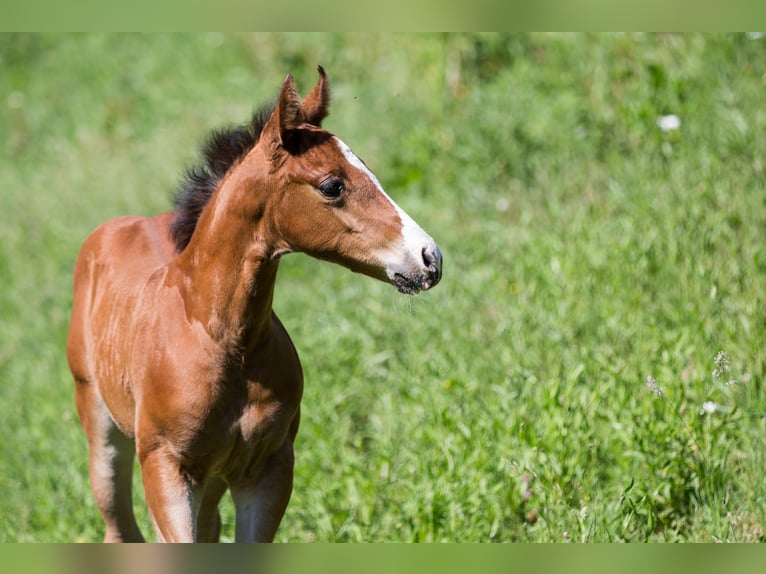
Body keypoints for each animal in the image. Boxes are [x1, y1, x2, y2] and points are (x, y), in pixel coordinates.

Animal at [66, 67, 443, 543]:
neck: (224, 340)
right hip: (102, 431)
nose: (430, 258)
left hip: (212, 478)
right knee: (119, 524)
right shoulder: (166, 467)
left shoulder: (268, 467)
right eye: (332, 185)